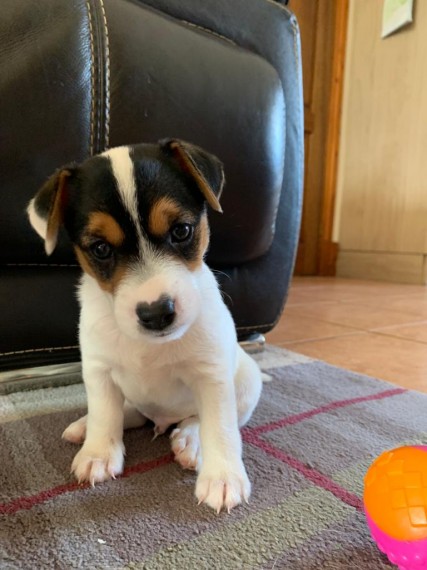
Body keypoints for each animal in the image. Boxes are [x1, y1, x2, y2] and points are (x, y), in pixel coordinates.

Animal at [27, 140, 264, 512]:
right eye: (100, 248)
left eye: (181, 230)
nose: (156, 313)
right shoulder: (98, 371)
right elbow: (105, 413)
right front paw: (98, 452)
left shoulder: (211, 375)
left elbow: (220, 428)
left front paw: (223, 477)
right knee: (129, 413)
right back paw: (84, 426)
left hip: (245, 383)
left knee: (201, 419)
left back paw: (190, 440)